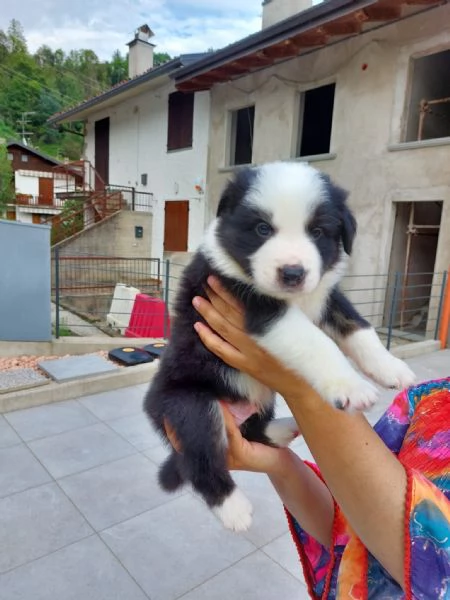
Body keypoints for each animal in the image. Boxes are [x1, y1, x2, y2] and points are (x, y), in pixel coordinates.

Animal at [144, 162, 414, 532]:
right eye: (262, 229)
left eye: (317, 231)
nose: (292, 273)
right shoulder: (258, 306)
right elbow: (317, 342)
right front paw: (351, 387)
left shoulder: (327, 296)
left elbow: (360, 328)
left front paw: (391, 369)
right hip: (190, 405)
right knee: (201, 459)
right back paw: (233, 508)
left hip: (260, 398)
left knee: (254, 430)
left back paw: (283, 429)